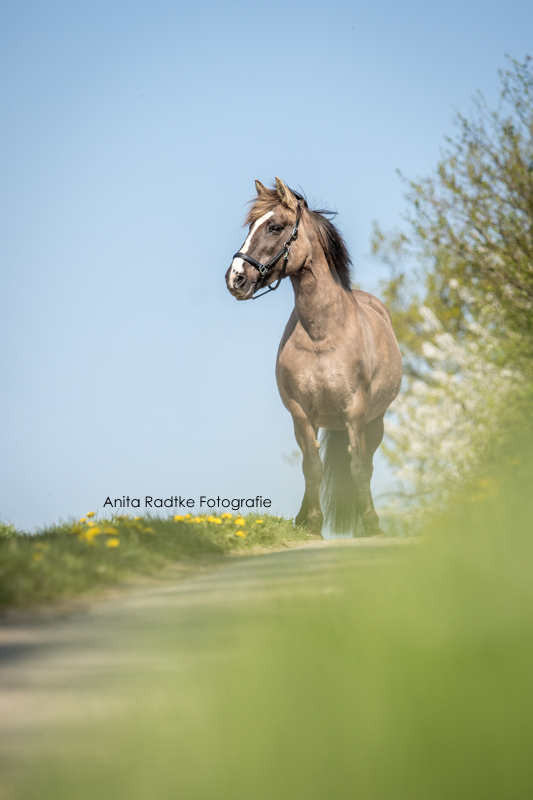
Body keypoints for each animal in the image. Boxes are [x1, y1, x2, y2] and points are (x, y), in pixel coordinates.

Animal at [223, 178, 400, 536]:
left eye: (275, 227)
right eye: (251, 227)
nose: (235, 278)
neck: (324, 334)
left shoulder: (356, 411)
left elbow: (359, 468)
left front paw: (371, 526)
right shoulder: (301, 413)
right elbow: (312, 468)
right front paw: (313, 525)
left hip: (374, 422)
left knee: (366, 463)